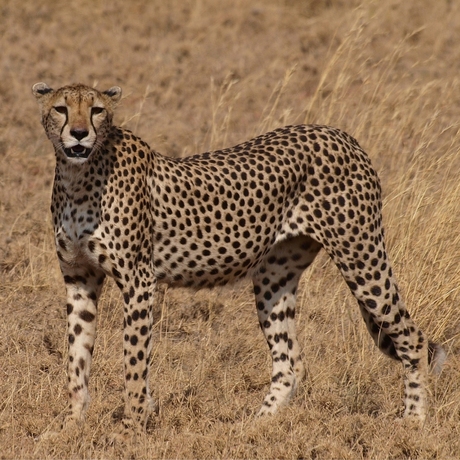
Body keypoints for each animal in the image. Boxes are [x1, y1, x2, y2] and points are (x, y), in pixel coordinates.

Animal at [33, 82, 446, 432]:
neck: (79, 177)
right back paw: (254, 426)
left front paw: (131, 428)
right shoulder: (79, 279)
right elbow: (76, 358)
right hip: (274, 277)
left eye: (97, 110)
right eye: (61, 108)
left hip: (361, 254)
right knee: (290, 361)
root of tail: (339, 133)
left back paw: (414, 420)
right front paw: (70, 425)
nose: (80, 133)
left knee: (412, 338)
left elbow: (133, 362)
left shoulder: (139, 281)